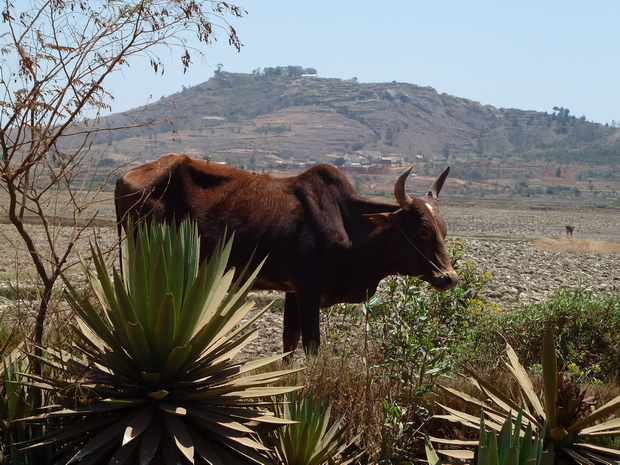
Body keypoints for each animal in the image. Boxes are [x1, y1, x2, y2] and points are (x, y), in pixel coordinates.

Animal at [115, 154, 456, 354]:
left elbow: (288, 346)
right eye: (422, 231)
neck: (348, 223)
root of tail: (125, 176)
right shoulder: (308, 288)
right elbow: (311, 346)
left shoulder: (293, 291)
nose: (449, 278)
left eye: (443, 228)